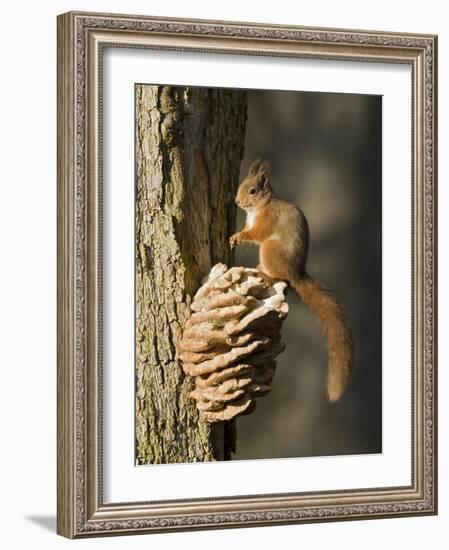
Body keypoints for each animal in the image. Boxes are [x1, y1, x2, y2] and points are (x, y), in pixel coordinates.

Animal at [231, 157, 354, 404]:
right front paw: (235, 235)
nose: (237, 201)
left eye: (253, 190)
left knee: (281, 277)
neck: (260, 207)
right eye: (241, 185)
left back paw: (266, 274)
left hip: (270, 251)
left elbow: (256, 234)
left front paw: (241, 236)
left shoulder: (267, 220)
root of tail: (296, 273)